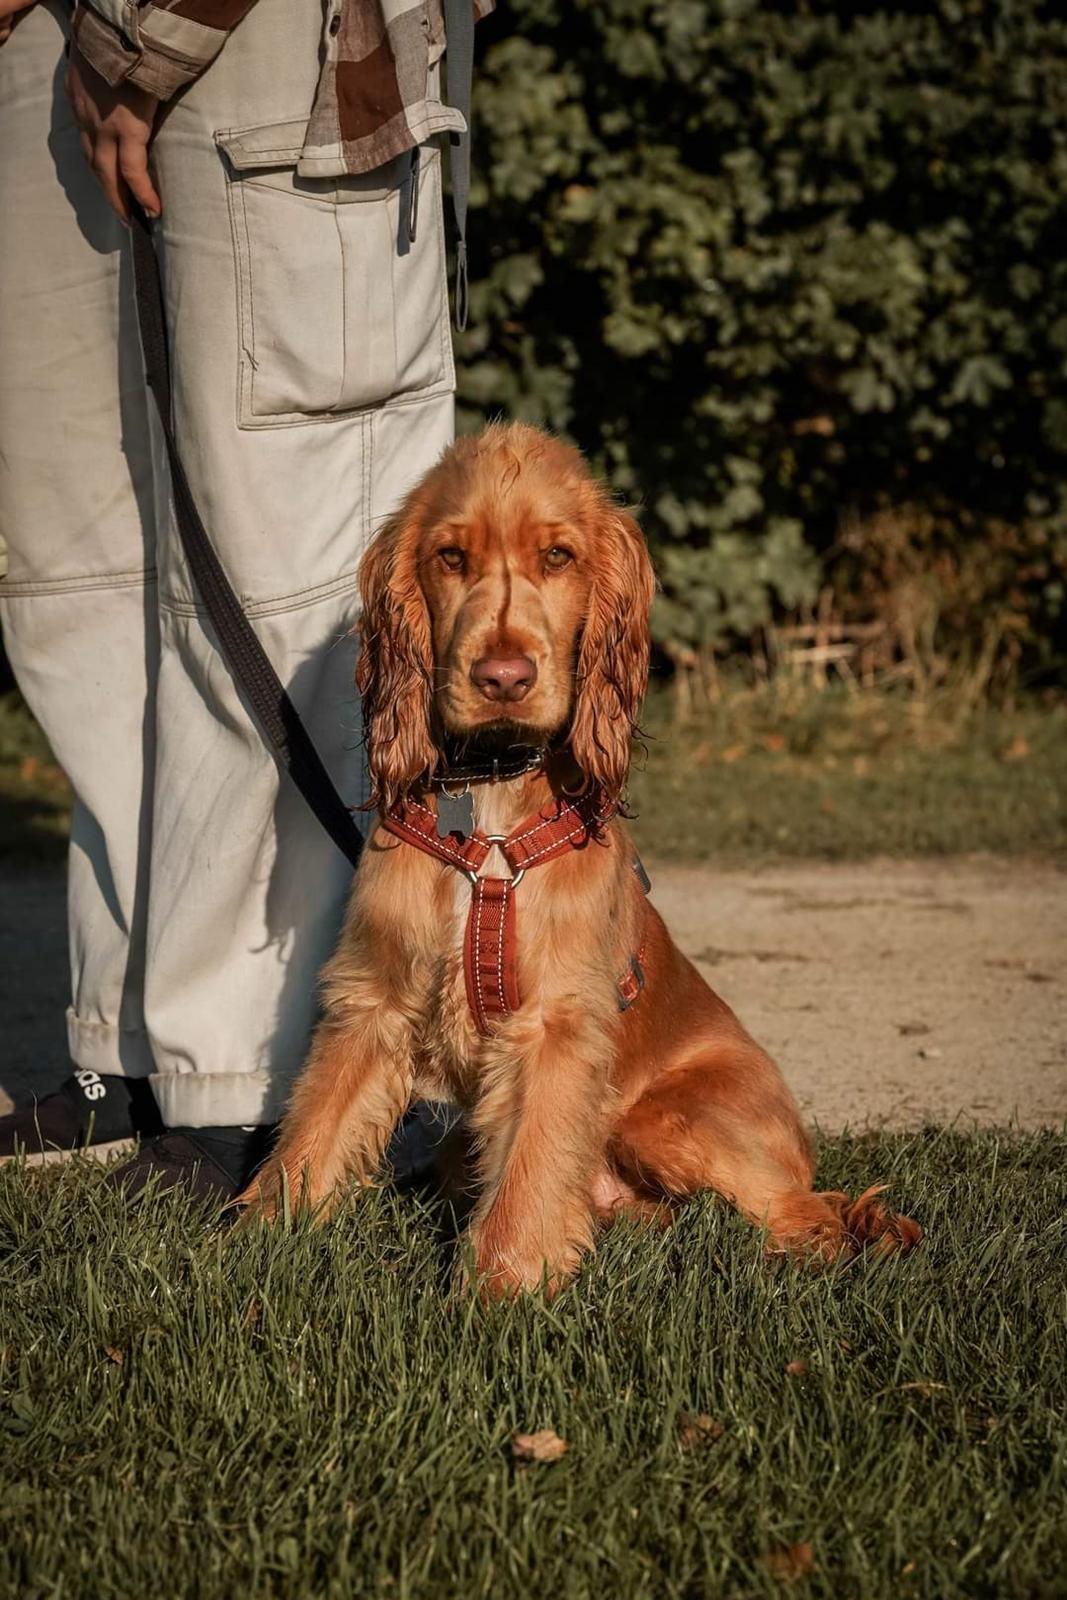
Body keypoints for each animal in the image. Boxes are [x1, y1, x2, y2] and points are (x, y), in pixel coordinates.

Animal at [239, 422, 921, 1286]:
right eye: (449, 557)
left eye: (557, 556)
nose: (503, 676)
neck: (491, 804)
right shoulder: (376, 997)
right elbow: (316, 1132)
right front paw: (255, 1246)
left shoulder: (554, 1022)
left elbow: (529, 1173)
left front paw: (501, 1291)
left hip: (668, 1118)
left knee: (812, 1215)